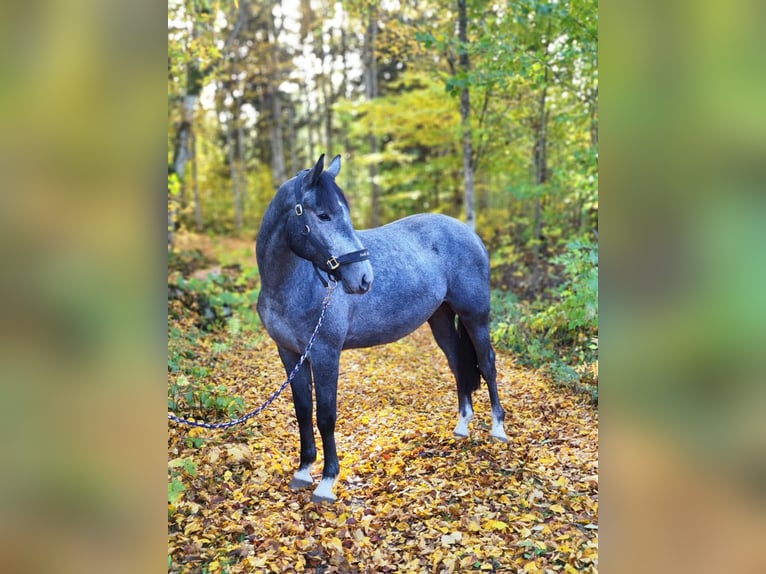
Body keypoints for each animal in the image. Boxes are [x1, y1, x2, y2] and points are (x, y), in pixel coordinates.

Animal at [258, 154, 510, 504]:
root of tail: (468, 232)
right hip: (441, 320)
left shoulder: (325, 354)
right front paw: (304, 470)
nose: (364, 278)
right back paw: (462, 426)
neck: (293, 283)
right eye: (323, 215)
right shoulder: (290, 354)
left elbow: (326, 415)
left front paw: (327, 481)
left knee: (487, 364)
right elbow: (303, 410)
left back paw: (498, 428)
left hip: (476, 316)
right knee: (459, 365)